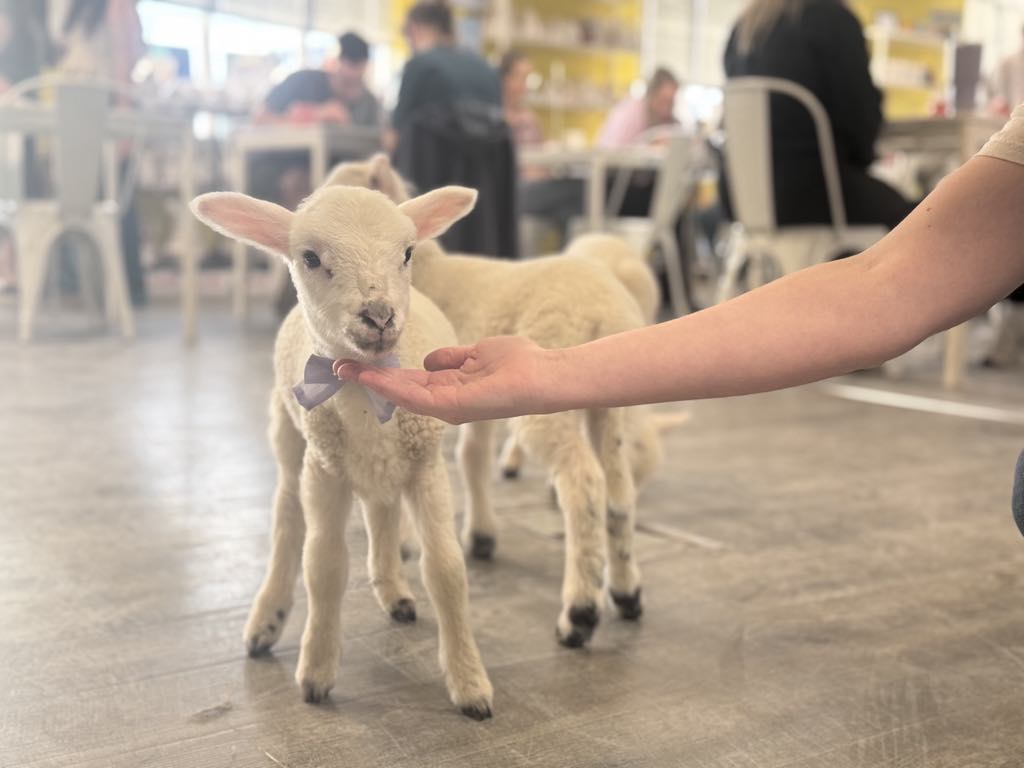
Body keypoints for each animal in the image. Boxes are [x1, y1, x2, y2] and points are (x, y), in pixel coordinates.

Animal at [190, 183, 494, 719]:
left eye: (407, 252)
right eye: (310, 258)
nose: (379, 316)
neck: (364, 385)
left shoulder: (425, 466)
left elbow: (446, 569)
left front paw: (469, 682)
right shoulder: (325, 470)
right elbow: (324, 566)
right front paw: (315, 673)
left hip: (385, 466)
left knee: (381, 510)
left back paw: (393, 590)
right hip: (292, 440)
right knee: (288, 519)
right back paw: (267, 618)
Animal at [328, 154, 658, 648]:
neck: (430, 273)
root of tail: (605, 308)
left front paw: (404, 540)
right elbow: (473, 456)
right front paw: (481, 536)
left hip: (549, 393)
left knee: (583, 484)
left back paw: (579, 614)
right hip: (607, 400)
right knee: (618, 493)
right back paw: (626, 591)